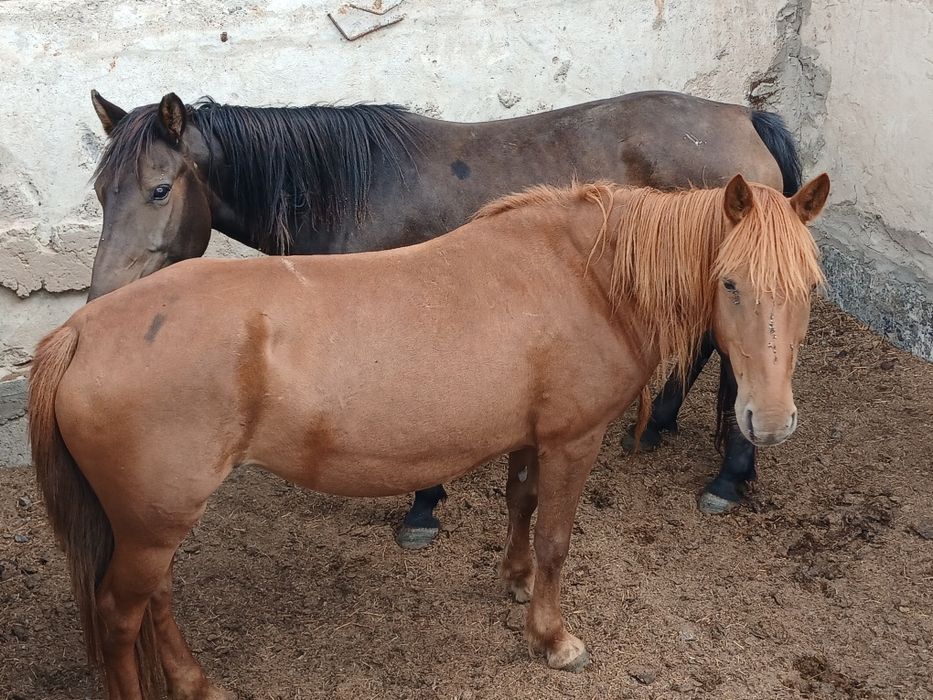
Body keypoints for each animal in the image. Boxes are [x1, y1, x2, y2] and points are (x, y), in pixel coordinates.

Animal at [30, 173, 829, 698]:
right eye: (729, 282)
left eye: (810, 287)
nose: (770, 422)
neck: (582, 278)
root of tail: (80, 331)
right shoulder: (573, 438)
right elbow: (555, 538)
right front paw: (552, 637)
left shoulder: (528, 434)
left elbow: (519, 503)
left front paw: (514, 583)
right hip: (152, 523)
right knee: (121, 615)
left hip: (153, 522)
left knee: (154, 600)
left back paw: (197, 683)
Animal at [87, 89, 805, 546]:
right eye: (100, 191)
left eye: (159, 189)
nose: (101, 300)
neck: (350, 189)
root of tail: (746, 116)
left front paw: (423, 508)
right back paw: (661, 426)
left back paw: (728, 476)